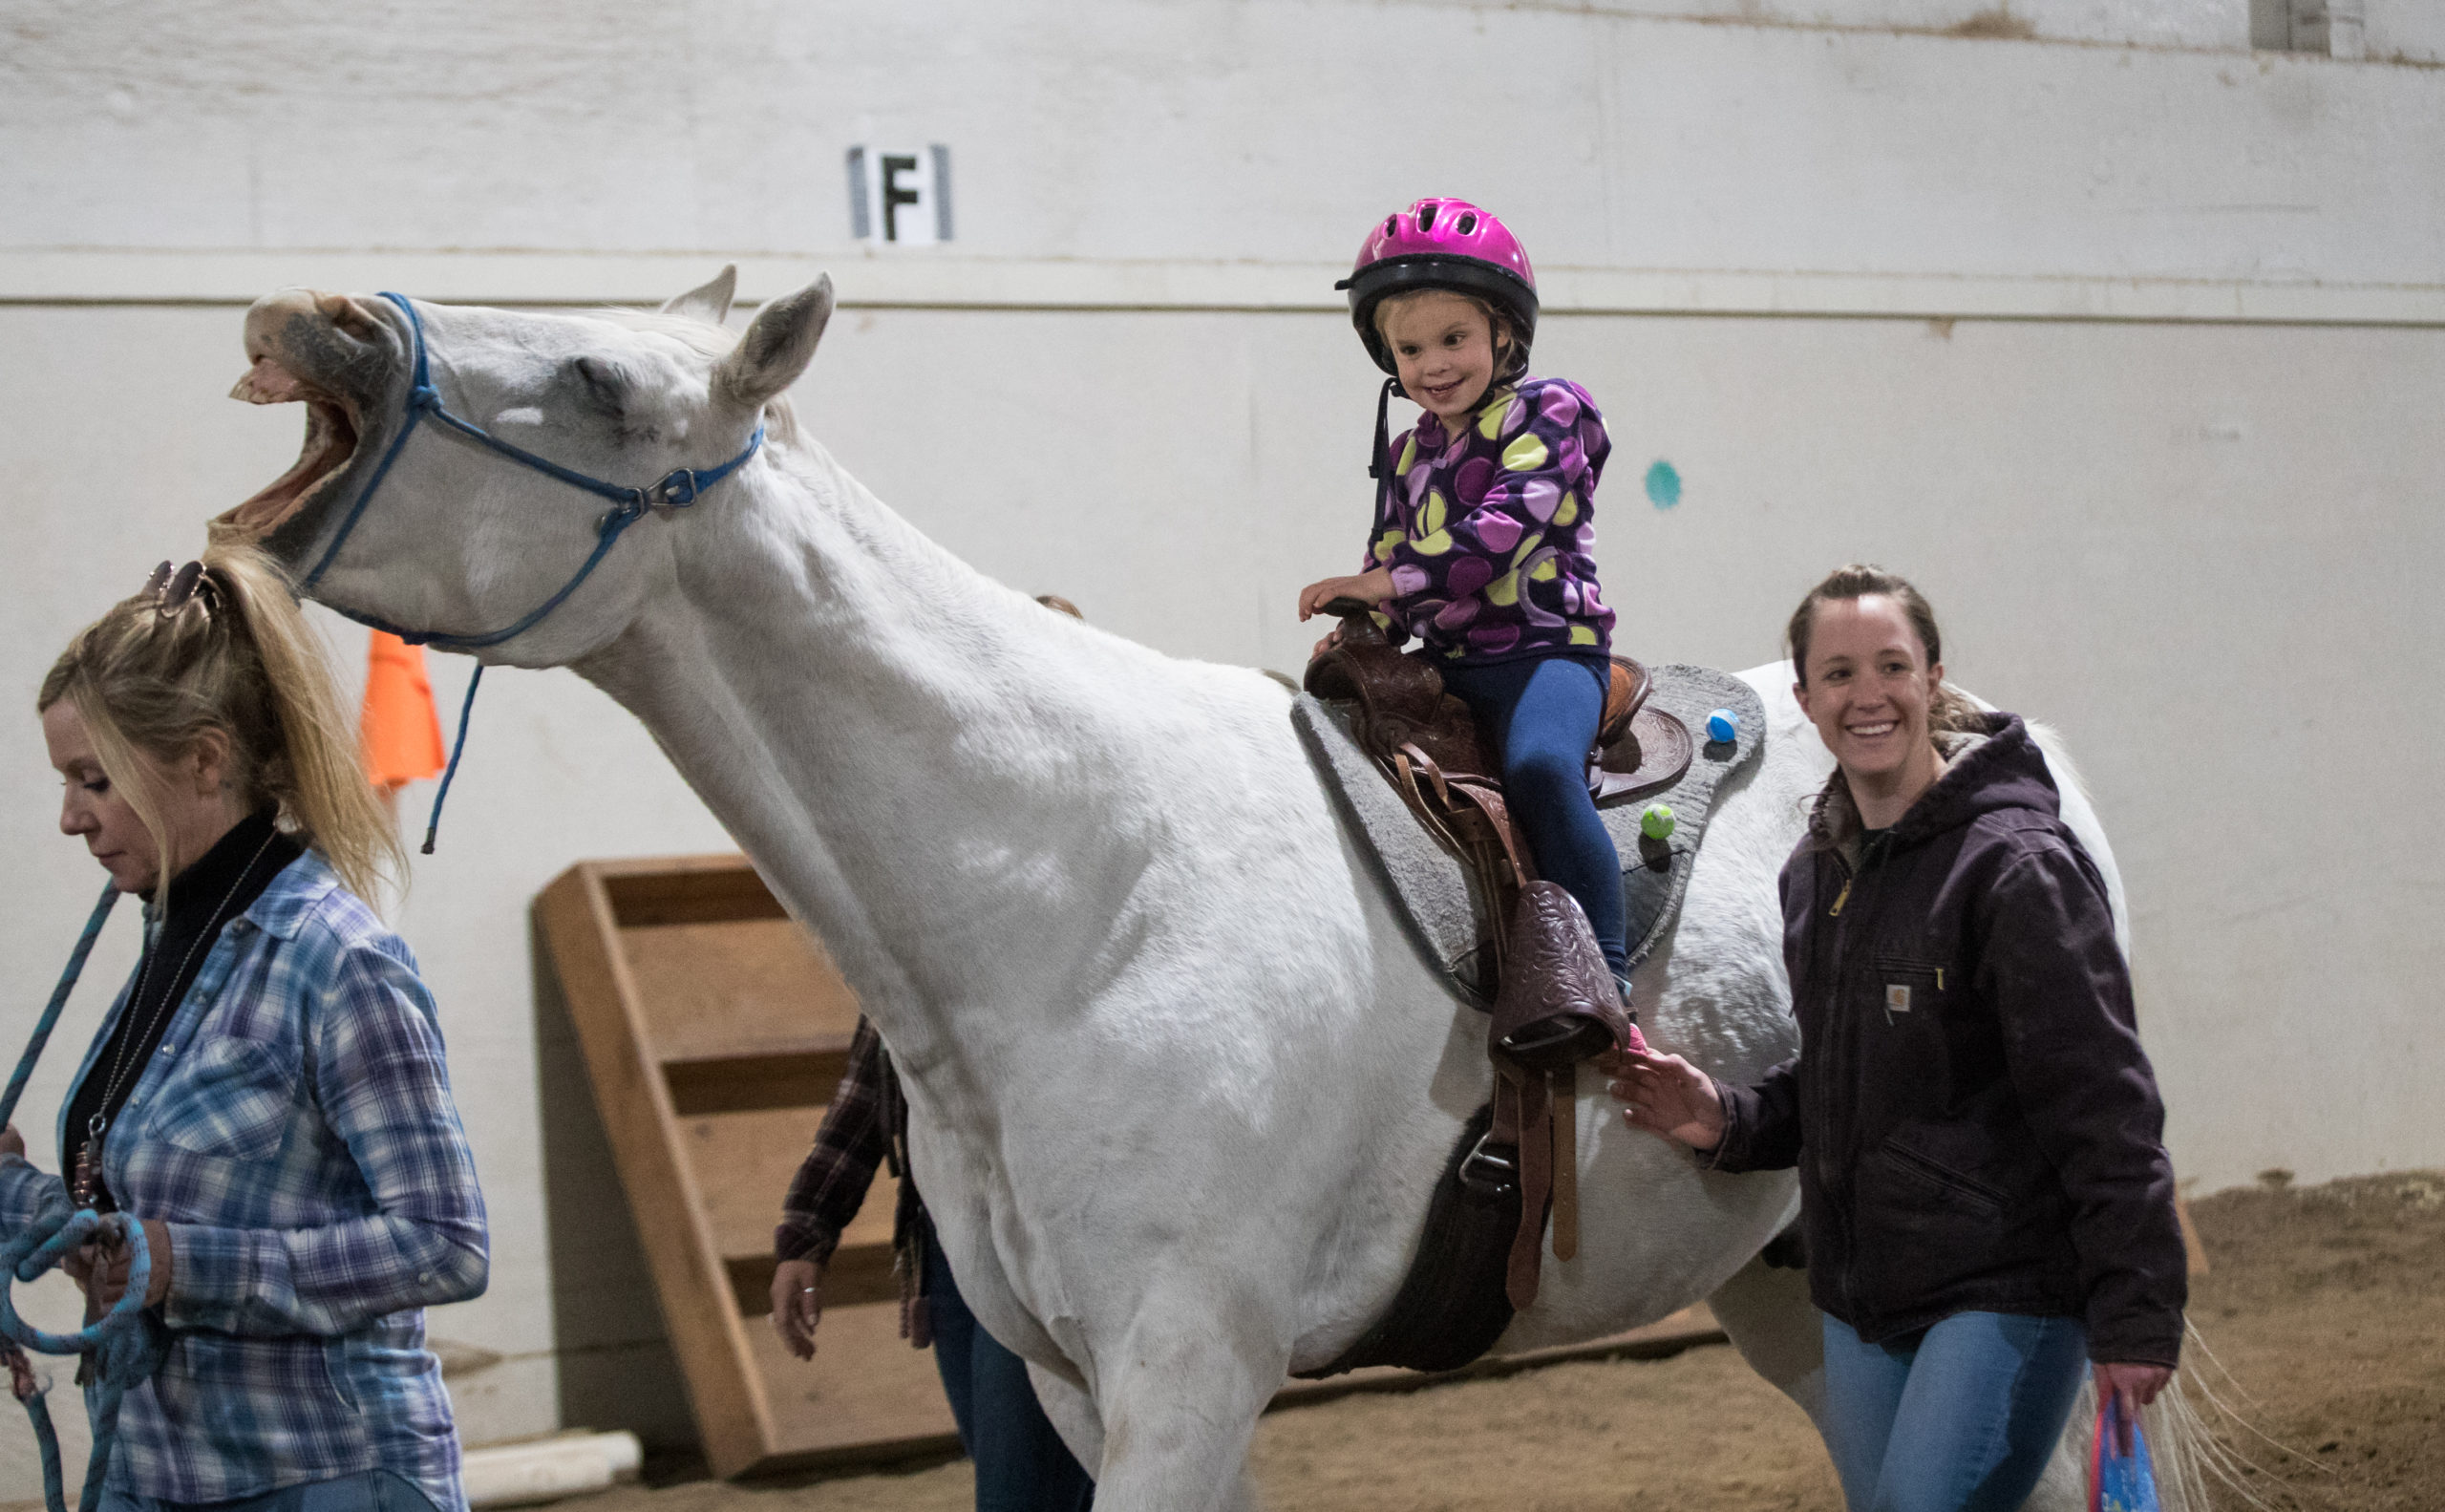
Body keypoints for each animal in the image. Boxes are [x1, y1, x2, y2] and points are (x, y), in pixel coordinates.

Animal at [210, 270, 2122, 1506]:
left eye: (604, 380)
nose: (323, 320)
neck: (1078, 892)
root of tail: (1977, 729)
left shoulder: (1187, 1369)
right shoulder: (1077, 1383)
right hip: (1797, 1290)